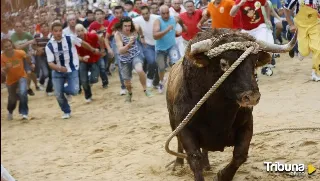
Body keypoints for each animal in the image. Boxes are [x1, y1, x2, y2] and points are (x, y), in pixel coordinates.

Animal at [166, 29, 296, 180]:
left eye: (254, 62)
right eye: (224, 64)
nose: (252, 97)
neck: (218, 109)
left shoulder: (246, 125)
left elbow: (240, 155)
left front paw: (222, 175)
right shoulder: (185, 129)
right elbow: (194, 158)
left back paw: (206, 164)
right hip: (172, 119)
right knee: (179, 143)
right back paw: (178, 164)